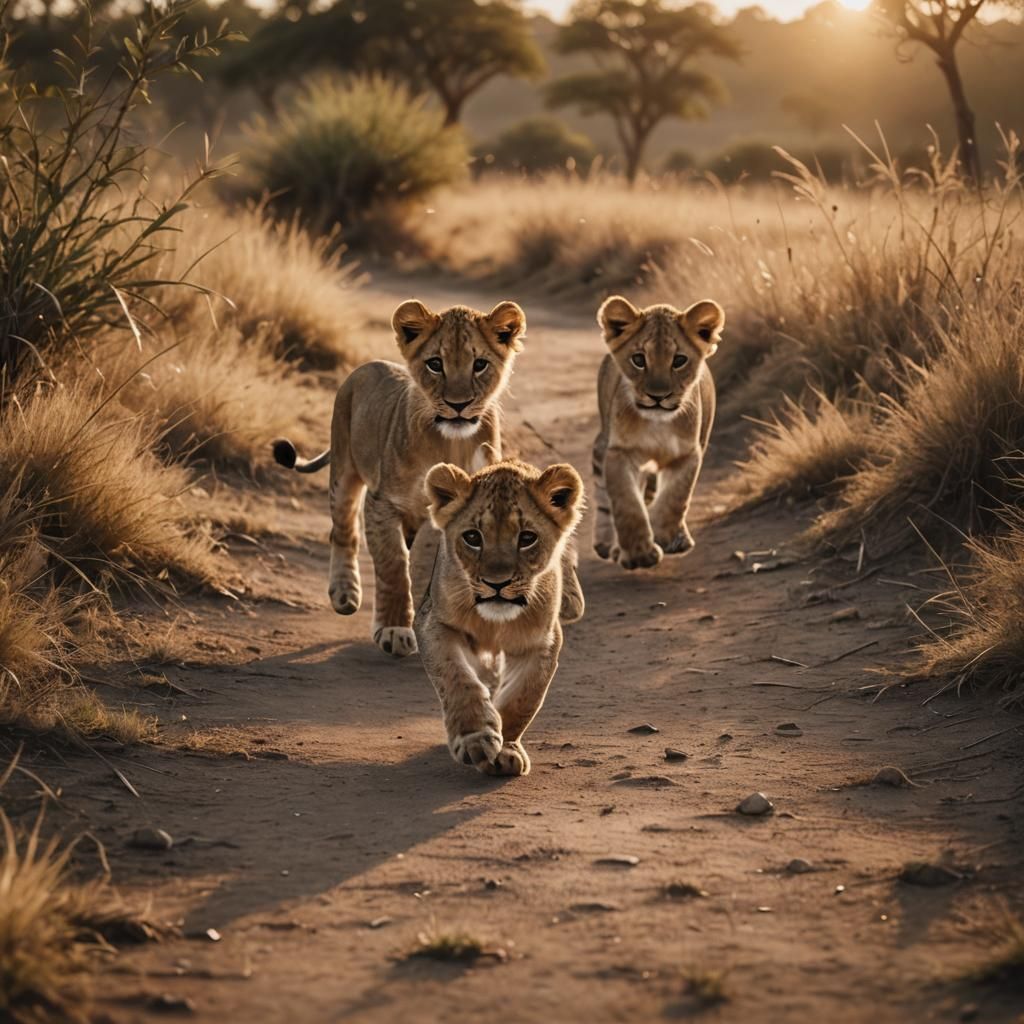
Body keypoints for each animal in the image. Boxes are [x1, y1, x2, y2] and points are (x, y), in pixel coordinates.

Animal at [273, 298, 584, 657]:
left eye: (480, 364)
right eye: (435, 364)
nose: (458, 405)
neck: (450, 442)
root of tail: (367, 366)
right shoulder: (384, 504)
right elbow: (393, 566)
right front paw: (394, 629)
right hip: (344, 470)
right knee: (343, 531)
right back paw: (345, 592)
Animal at [415, 459, 584, 776]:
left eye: (527, 538)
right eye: (472, 537)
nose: (497, 583)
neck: (494, 623)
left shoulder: (540, 642)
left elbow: (523, 697)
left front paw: (506, 749)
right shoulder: (435, 622)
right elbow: (458, 679)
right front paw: (476, 740)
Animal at [590, 295, 725, 570]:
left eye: (679, 360)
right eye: (639, 359)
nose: (658, 397)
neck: (658, 424)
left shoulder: (688, 453)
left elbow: (676, 497)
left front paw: (664, 535)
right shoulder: (619, 452)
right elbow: (627, 503)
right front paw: (639, 553)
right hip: (602, 444)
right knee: (604, 496)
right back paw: (608, 545)